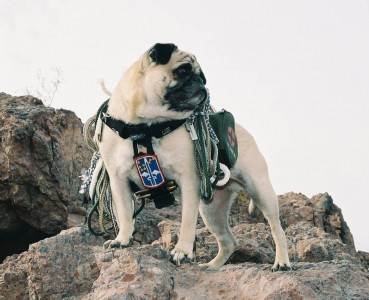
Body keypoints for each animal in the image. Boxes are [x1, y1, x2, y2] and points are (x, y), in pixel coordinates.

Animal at [95, 43, 290, 270]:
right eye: (183, 71)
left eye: (202, 77)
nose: (201, 83)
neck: (144, 126)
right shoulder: (118, 182)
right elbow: (126, 216)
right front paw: (122, 240)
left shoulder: (189, 180)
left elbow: (187, 223)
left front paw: (182, 251)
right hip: (212, 209)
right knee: (229, 241)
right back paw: (212, 266)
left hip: (260, 191)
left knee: (277, 229)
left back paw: (282, 262)